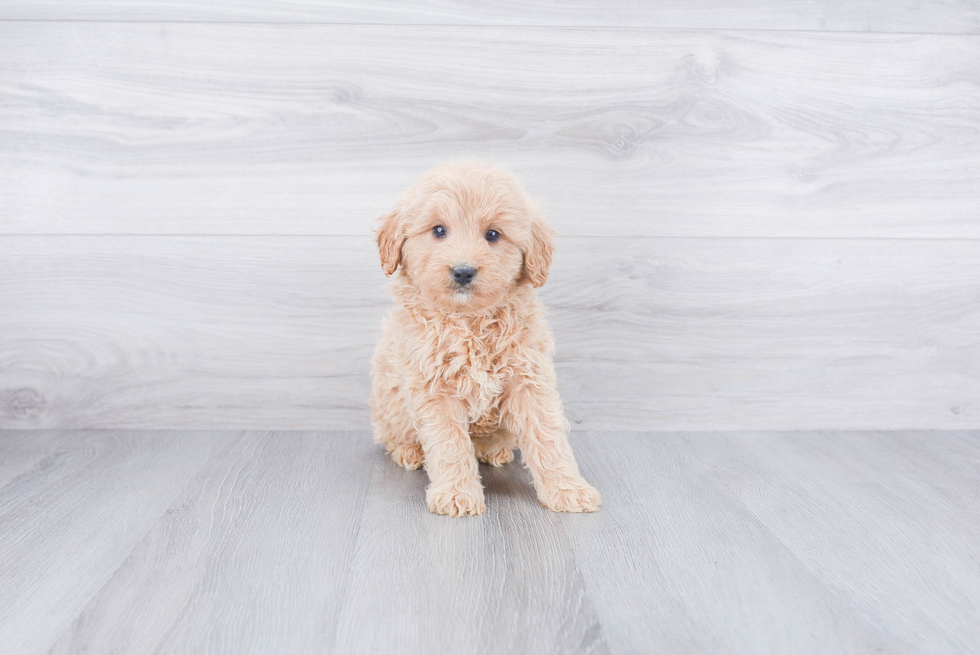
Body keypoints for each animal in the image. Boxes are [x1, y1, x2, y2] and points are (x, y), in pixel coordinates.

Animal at [368, 160, 596, 516]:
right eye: (438, 231)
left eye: (493, 234)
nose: (463, 271)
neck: (469, 321)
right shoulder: (434, 388)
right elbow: (449, 443)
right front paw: (456, 494)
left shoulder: (528, 379)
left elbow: (547, 436)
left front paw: (568, 489)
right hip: (388, 403)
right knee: (393, 435)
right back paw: (410, 451)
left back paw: (492, 449)